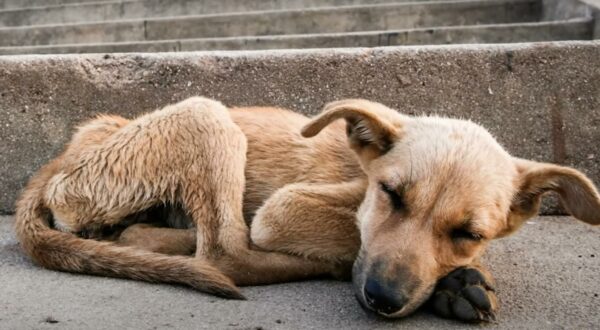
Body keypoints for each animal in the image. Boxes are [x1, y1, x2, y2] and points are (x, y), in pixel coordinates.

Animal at [15, 96, 600, 322]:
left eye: (469, 232)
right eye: (391, 195)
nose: (383, 299)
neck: (360, 171)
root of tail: (63, 157)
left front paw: (457, 278)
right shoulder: (283, 207)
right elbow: (347, 236)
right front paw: (452, 283)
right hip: (206, 115)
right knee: (226, 253)